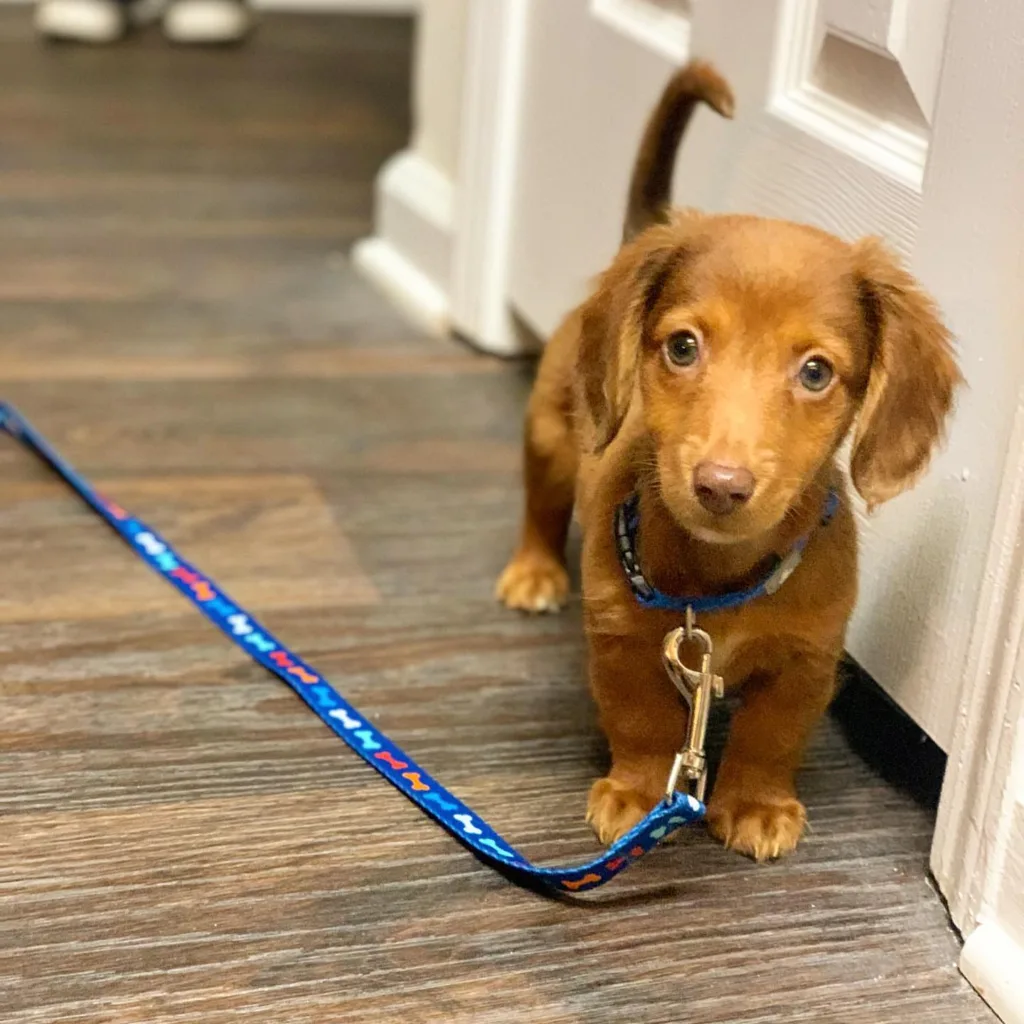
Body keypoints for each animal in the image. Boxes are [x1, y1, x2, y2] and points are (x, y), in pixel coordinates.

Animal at [495, 61, 958, 864]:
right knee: (540, 507)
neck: (717, 579)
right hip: (551, 437)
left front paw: (755, 804)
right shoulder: (620, 639)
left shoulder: (809, 657)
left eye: (815, 372)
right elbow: (642, 722)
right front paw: (636, 795)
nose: (720, 485)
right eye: (683, 346)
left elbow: (772, 738)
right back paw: (533, 571)